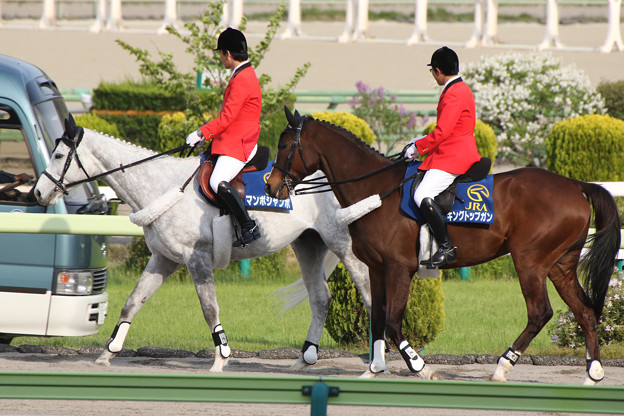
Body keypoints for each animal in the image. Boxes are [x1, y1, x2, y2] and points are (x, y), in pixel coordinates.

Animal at [34, 120, 370, 370]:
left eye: (59, 156)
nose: (38, 192)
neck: (163, 185)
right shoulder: (163, 259)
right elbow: (133, 301)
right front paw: (109, 352)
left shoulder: (196, 258)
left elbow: (209, 308)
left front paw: (221, 357)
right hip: (308, 245)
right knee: (321, 298)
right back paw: (304, 359)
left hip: (341, 243)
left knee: (366, 288)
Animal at [266, 109, 620, 386]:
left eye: (284, 145)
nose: (271, 187)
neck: (377, 190)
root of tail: (576, 185)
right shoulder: (378, 269)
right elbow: (377, 318)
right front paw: (374, 369)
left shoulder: (399, 269)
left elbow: (393, 322)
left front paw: (420, 367)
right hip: (560, 266)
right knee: (585, 311)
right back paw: (593, 372)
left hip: (529, 262)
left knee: (540, 312)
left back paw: (502, 367)